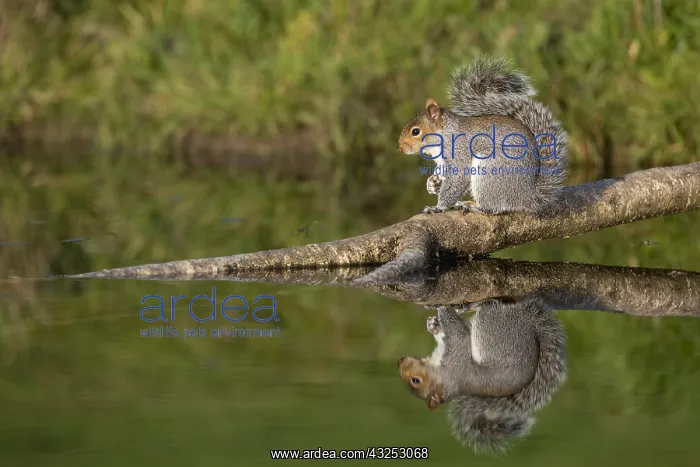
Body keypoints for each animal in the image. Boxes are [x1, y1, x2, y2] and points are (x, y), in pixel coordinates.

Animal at [397, 55, 568, 215]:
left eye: (415, 131)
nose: (400, 148)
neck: (445, 134)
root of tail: (526, 197)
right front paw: (432, 183)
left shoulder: (459, 153)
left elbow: (457, 180)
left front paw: (438, 207)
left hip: (489, 170)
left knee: (493, 208)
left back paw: (474, 207)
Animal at [397, 297, 567, 452]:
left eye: (415, 380)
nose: (400, 361)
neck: (443, 376)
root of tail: (530, 329)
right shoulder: (456, 358)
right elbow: (458, 332)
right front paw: (439, 310)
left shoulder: (455, 357)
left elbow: (456, 331)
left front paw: (435, 318)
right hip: (491, 328)